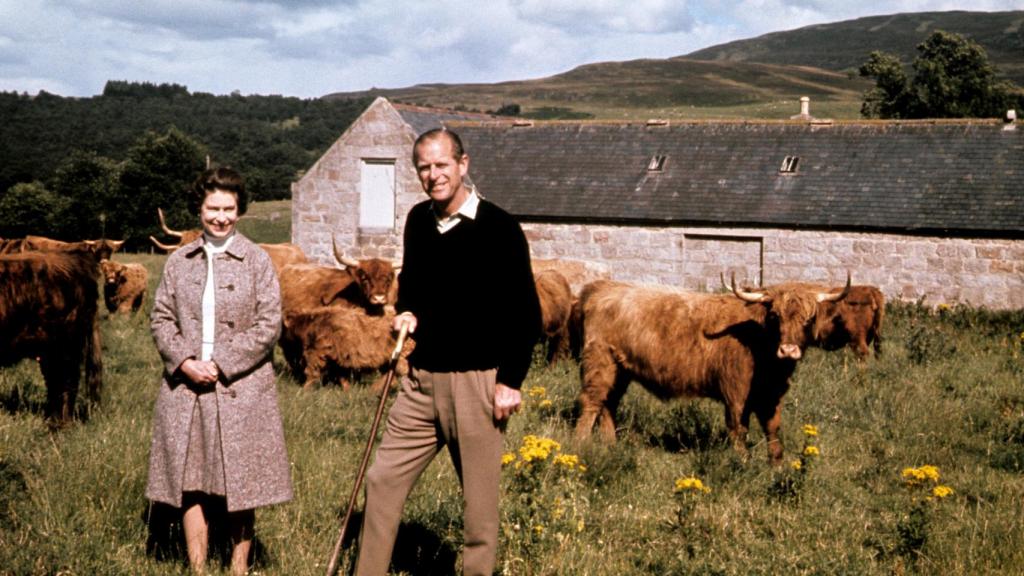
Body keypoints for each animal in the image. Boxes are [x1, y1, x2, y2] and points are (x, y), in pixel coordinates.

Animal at [282, 303, 413, 387]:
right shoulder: (337, 357)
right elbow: (342, 377)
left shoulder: (316, 352)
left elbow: (311, 372)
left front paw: (304, 391)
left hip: (399, 359)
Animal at [577, 274, 847, 461]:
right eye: (775, 316)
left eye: (809, 319)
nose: (788, 350)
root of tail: (603, 287)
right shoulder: (735, 394)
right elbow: (738, 429)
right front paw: (743, 463)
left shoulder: (771, 395)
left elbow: (773, 430)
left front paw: (777, 466)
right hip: (600, 363)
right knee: (591, 402)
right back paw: (581, 445)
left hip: (620, 370)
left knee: (608, 404)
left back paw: (610, 445)